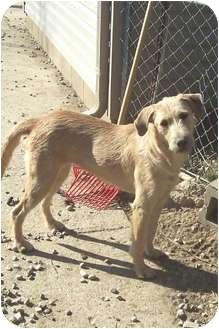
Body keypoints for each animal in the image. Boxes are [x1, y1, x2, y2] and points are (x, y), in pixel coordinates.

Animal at [1, 92, 204, 276]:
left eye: (183, 115)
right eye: (163, 124)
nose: (182, 142)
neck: (159, 152)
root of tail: (40, 120)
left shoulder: (158, 202)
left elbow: (151, 232)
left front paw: (151, 252)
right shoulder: (141, 205)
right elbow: (137, 243)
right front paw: (141, 269)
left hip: (57, 174)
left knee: (45, 201)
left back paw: (52, 224)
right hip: (42, 179)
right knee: (17, 212)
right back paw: (20, 243)